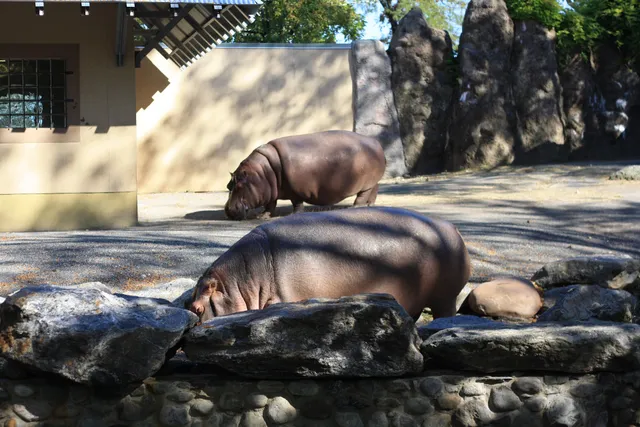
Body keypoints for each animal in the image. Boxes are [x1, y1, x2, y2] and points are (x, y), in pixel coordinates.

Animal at [224, 130, 386, 220]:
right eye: (228, 185)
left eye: (239, 185)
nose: (228, 211)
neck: (261, 174)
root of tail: (376, 143)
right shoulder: (270, 191)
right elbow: (270, 204)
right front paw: (261, 216)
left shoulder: (294, 190)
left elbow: (296, 203)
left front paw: (292, 215)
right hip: (373, 181)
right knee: (375, 189)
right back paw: (370, 205)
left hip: (365, 183)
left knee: (362, 195)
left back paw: (355, 207)